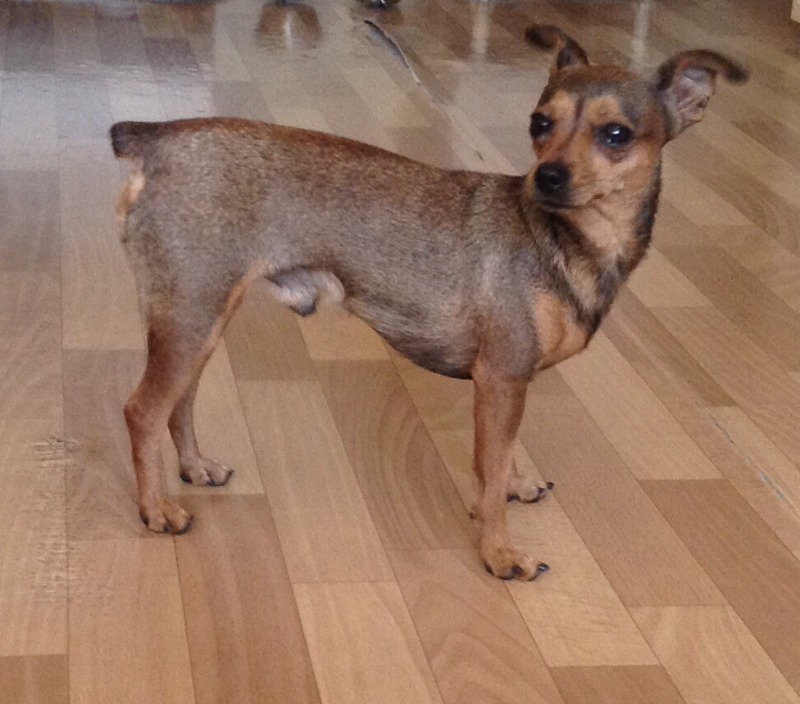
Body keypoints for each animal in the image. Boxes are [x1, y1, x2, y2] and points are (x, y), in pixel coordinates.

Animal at [110, 25, 746, 581]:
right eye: (540, 124)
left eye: (616, 135)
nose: (547, 176)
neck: (562, 240)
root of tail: (157, 136)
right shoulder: (501, 378)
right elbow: (487, 480)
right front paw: (499, 553)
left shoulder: (509, 384)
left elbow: (501, 457)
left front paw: (515, 483)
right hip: (192, 316)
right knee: (142, 410)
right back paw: (156, 510)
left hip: (197, 321)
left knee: (179, 401)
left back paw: (195, 468)